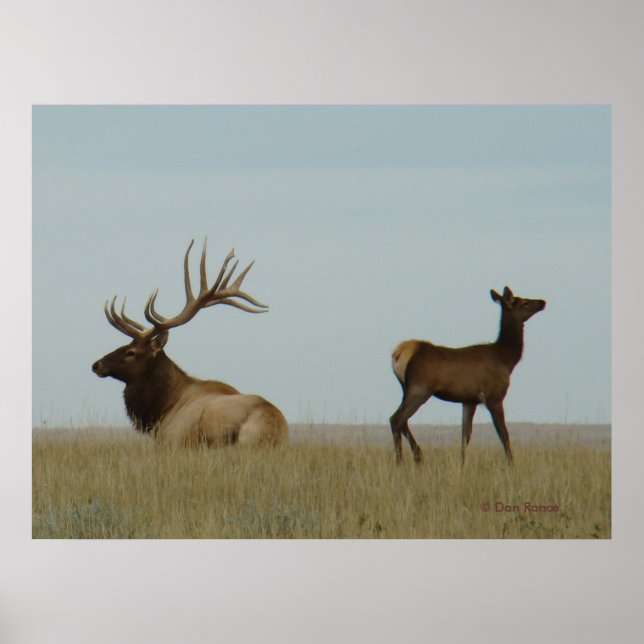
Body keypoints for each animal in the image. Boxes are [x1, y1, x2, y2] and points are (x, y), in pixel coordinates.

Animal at [390, 286, 545, 465]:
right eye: (524, 302)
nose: (542, 302)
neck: (507, 359)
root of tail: (399, 353)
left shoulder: (469, 400)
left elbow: (465, 436)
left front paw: (462, 464)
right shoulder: (494, 396)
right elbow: (504, 435)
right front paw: (512, 465)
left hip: (405, 389)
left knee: (402, 421)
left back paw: (417, 456)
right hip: (420, 388)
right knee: (396, 419)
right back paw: (401, 462)